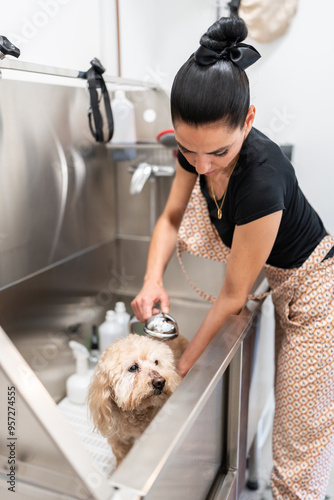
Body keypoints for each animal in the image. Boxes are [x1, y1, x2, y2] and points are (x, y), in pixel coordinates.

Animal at [88, 334, 188, 466]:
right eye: (133, 367)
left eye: (156, 362)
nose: (160, 382)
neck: (137, 415)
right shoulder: (118, 439)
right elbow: (120, 455)